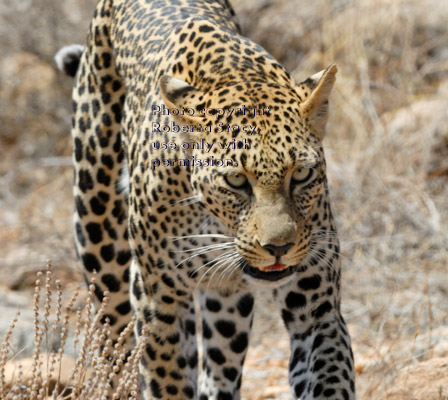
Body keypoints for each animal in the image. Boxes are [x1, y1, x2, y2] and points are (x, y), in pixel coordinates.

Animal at [57, 0, 356, 396]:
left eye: (301, 175)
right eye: (236, 180)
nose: (279, 247)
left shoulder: (316, 308)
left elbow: (330, 377)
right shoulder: (159, 301)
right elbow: (165, 382)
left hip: (227, 299)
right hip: (101, 248)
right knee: (117, 351)